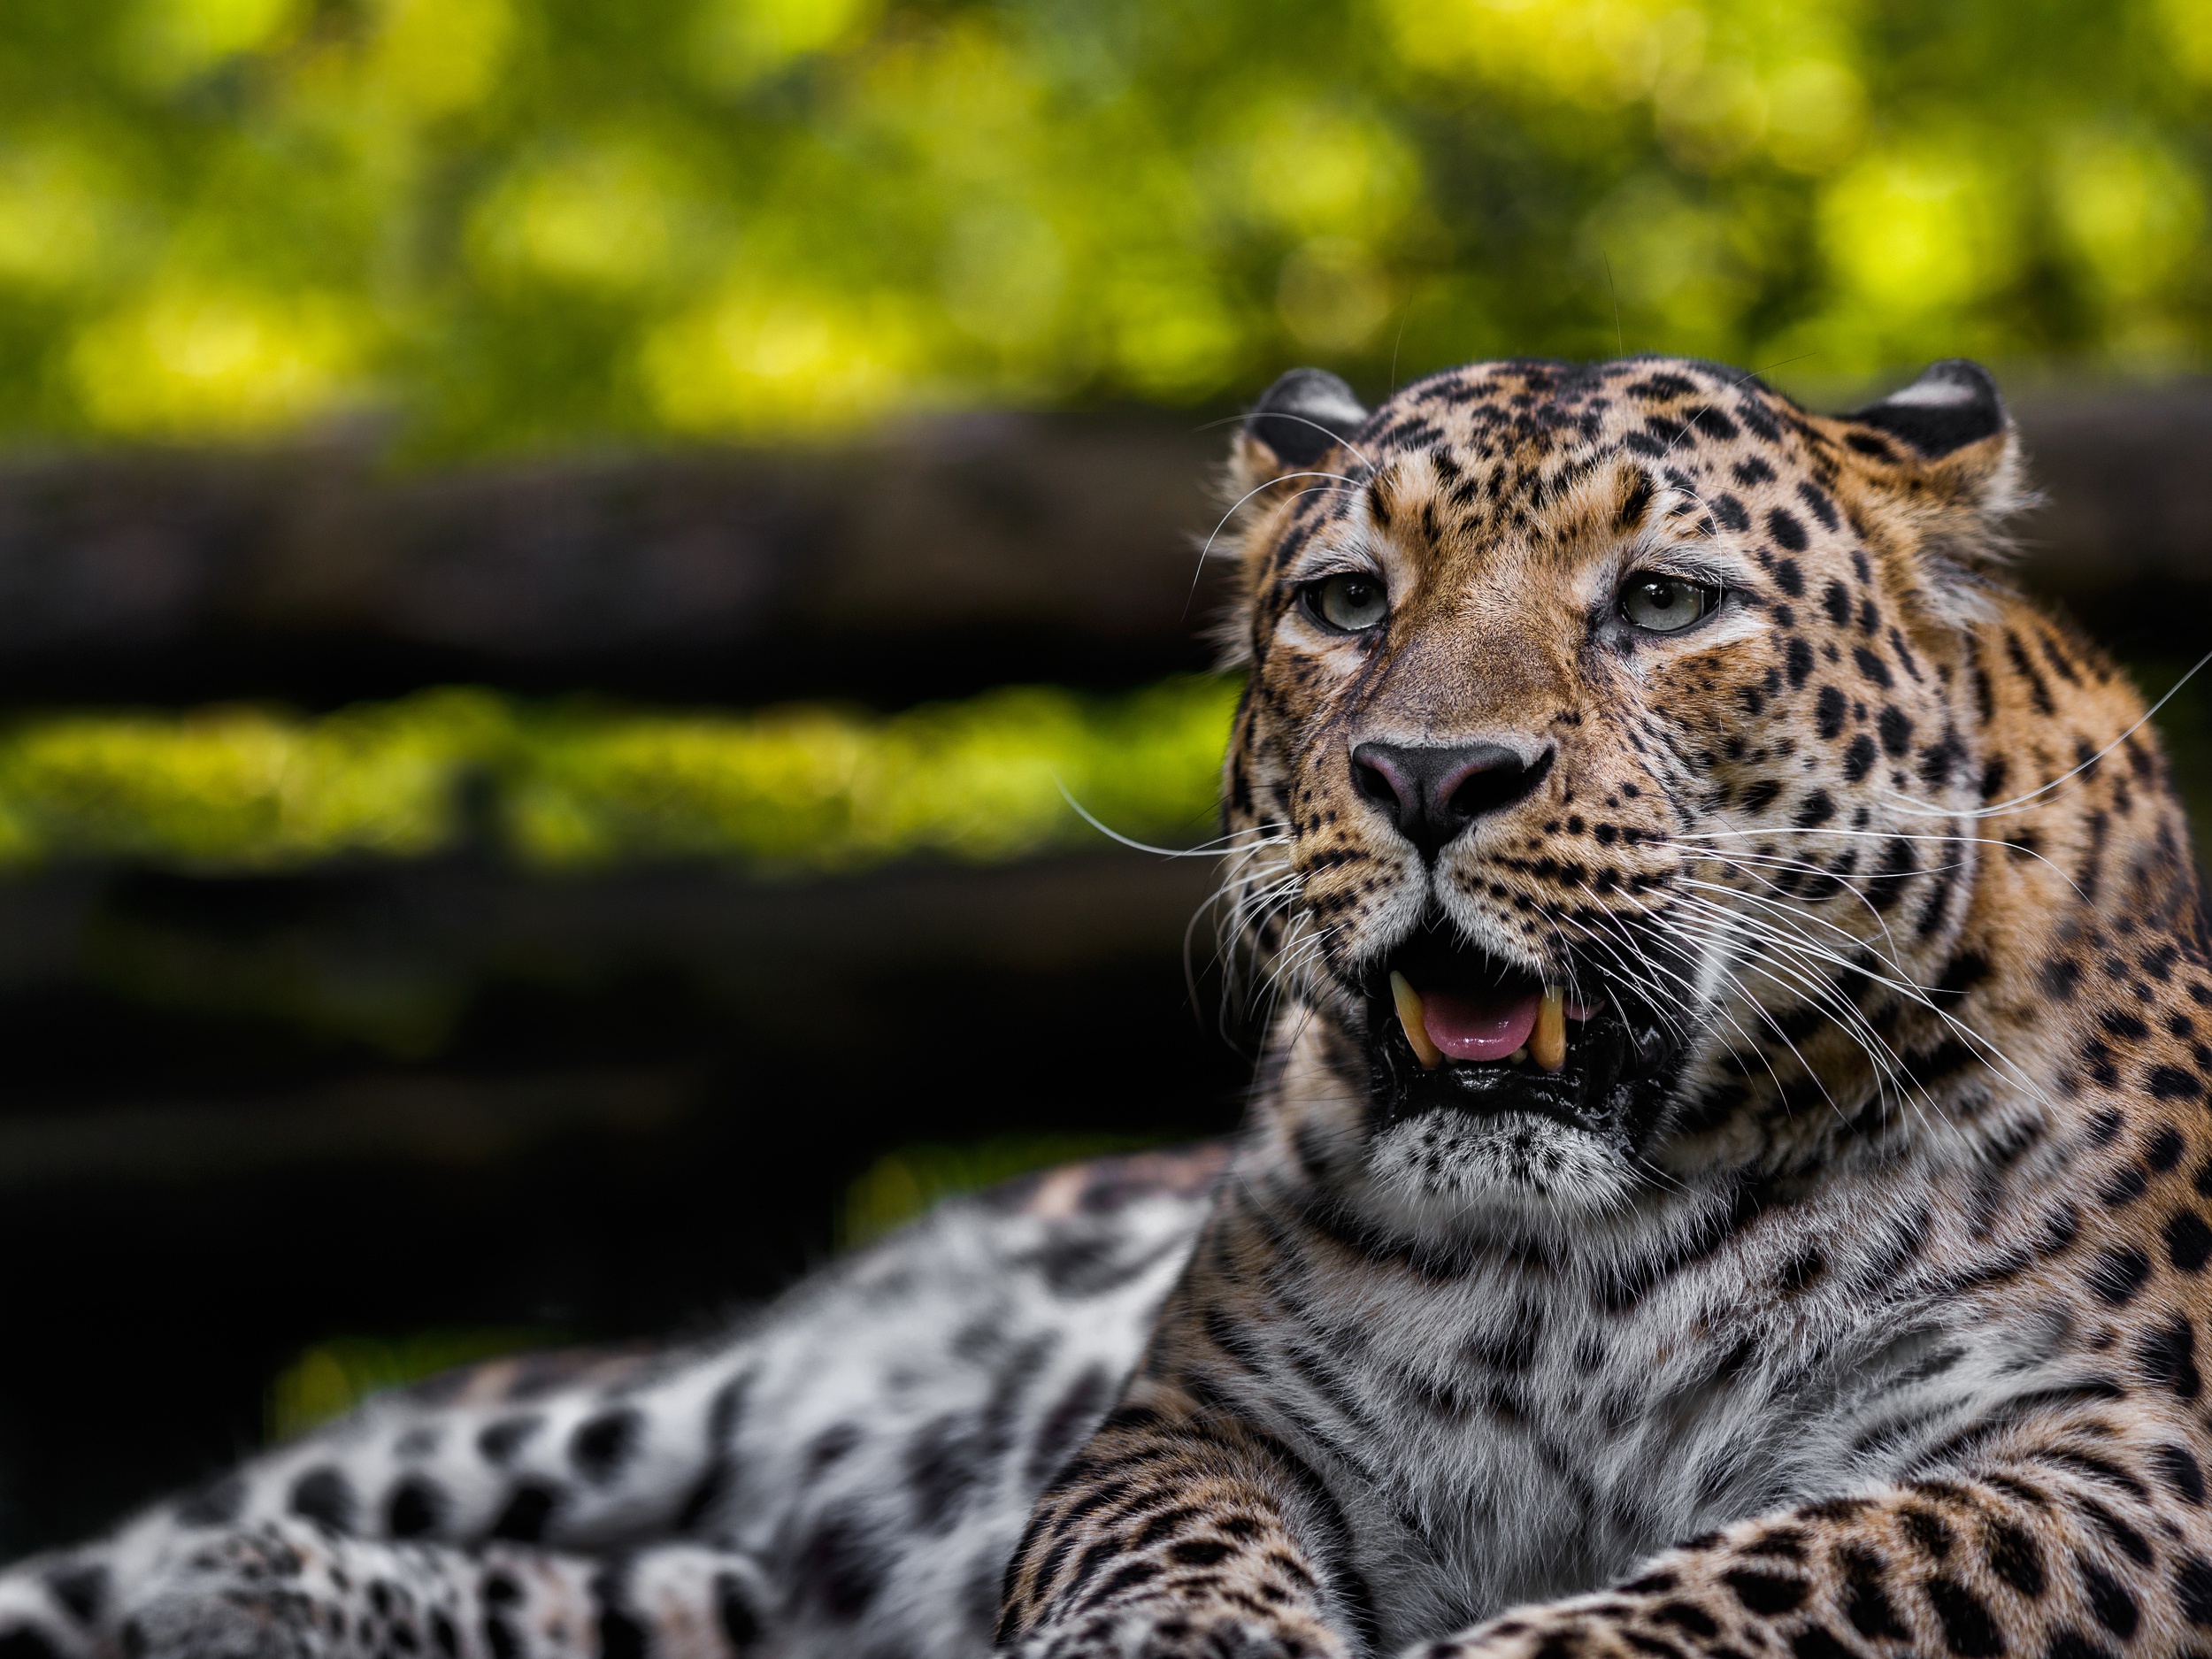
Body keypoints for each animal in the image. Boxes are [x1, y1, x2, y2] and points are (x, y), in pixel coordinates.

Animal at [4, 354, 2212, 1659]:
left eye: (1661, 603)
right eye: (1343, 603)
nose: (1425, 774)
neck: (1589, 1247)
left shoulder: (2112, 1457)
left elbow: (1740, 1585)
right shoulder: (1198, 1415)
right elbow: (1159, 1544)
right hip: (603, 1408)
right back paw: (230, 1580)